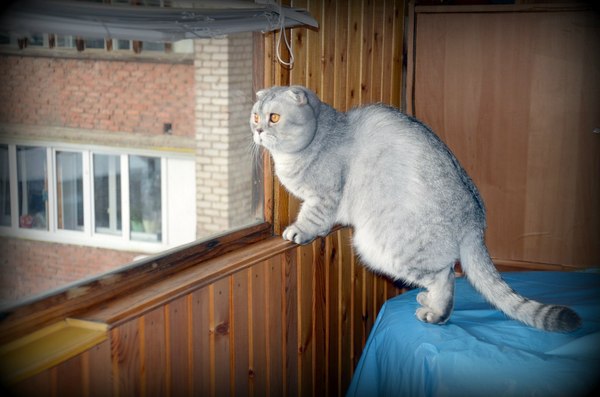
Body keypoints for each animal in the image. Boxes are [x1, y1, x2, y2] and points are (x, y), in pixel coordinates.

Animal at [250, 84, 580, 332]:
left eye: (274, 117)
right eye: (255, 116)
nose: (258, 131)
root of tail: (476, 218)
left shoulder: (324, 196)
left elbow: (311, 219)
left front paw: (298, 231)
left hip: (382, 246)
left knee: (446, 276)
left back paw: (436, 312)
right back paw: (429, 303)